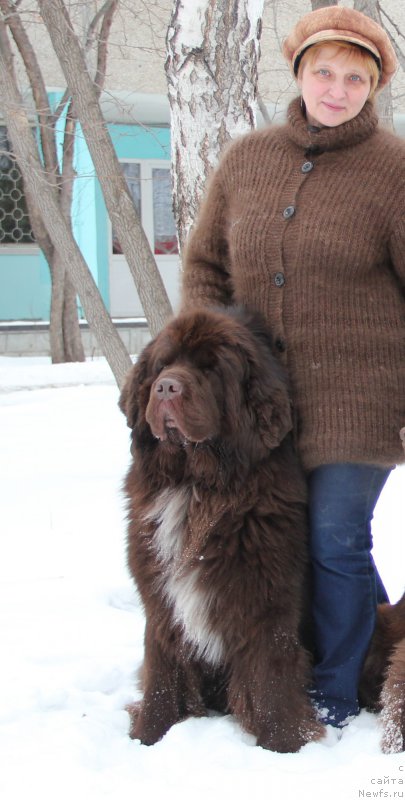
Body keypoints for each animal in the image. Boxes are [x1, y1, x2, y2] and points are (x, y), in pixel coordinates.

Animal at [118, 304, 404, 752]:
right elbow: (162, 673)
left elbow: (270, 678)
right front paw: (148, 737)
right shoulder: (160, 597)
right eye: (164, 364)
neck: (198, 485)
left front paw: (284, 746)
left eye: (211, 368)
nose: (165, 388)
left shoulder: (267, 599)